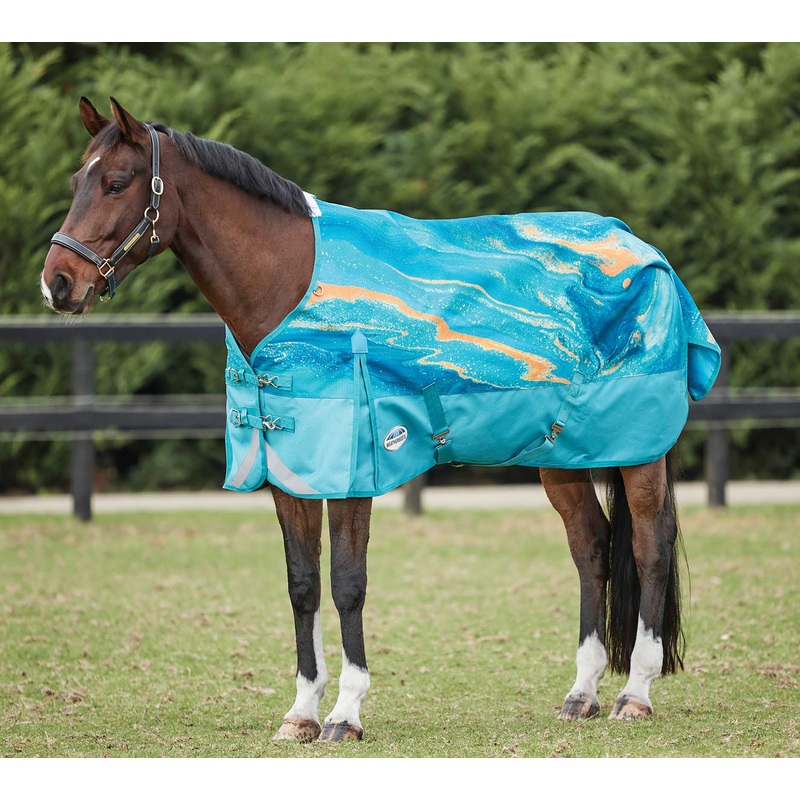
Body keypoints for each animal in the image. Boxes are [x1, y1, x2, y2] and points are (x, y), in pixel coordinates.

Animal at [41, 97, 720, 742]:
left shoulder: (351, 472)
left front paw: (346, 713)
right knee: (592, 547)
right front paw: (300, 714)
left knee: (650, 546)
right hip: (561, 454)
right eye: (78, 178)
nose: (58, 283)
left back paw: (635, 694)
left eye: (117, 183)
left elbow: (347, 582)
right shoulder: (290, 473)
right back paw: (581, 694)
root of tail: (643, 251)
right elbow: (303, 583)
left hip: (637, 450)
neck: (291, 288)